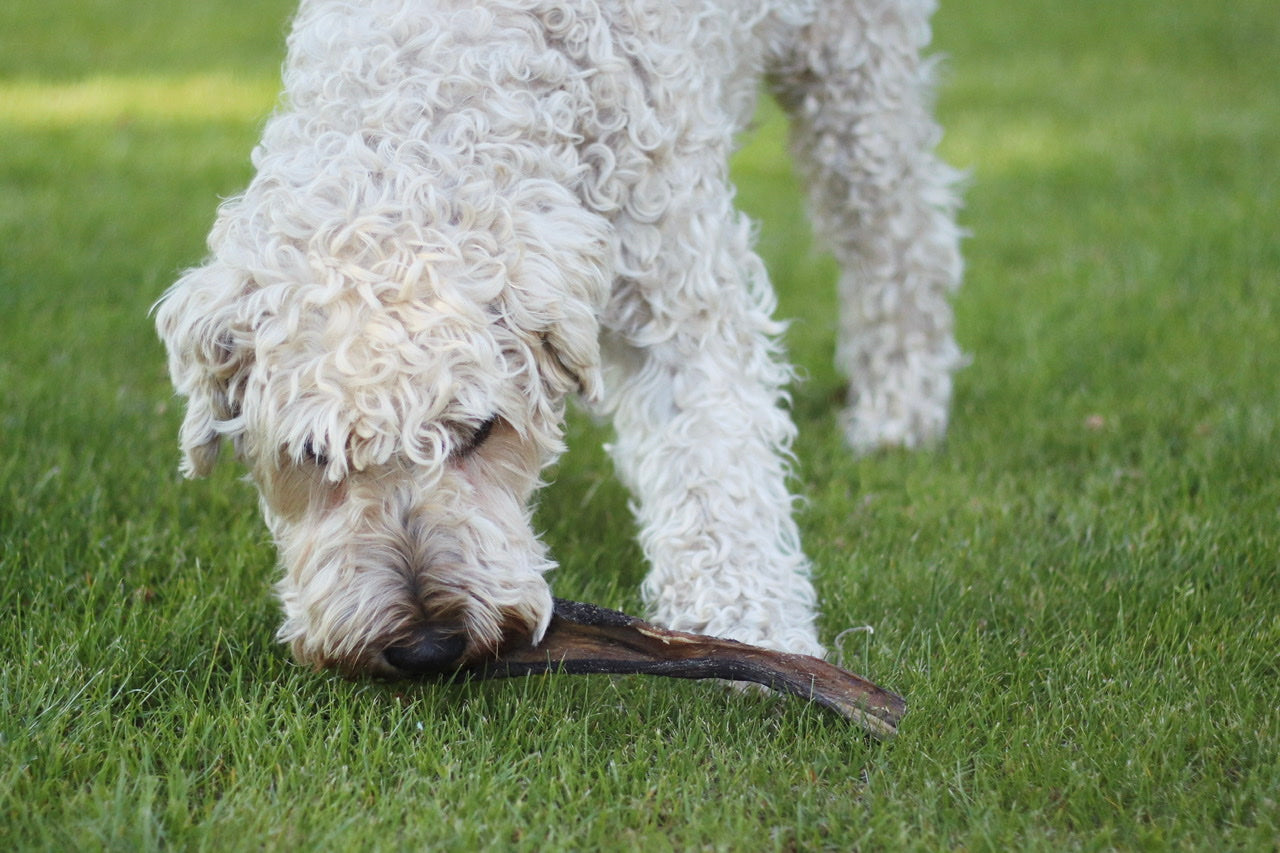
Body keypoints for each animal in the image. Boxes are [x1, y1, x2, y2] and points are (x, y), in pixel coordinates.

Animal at [154, 0, 962, 676]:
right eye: (314, 454)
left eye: (481, 430)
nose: (427, 646)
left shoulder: (677, 288)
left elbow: (715, 466)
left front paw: (748, 630)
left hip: (857, 75)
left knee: (903, 237)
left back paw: (898, 411)